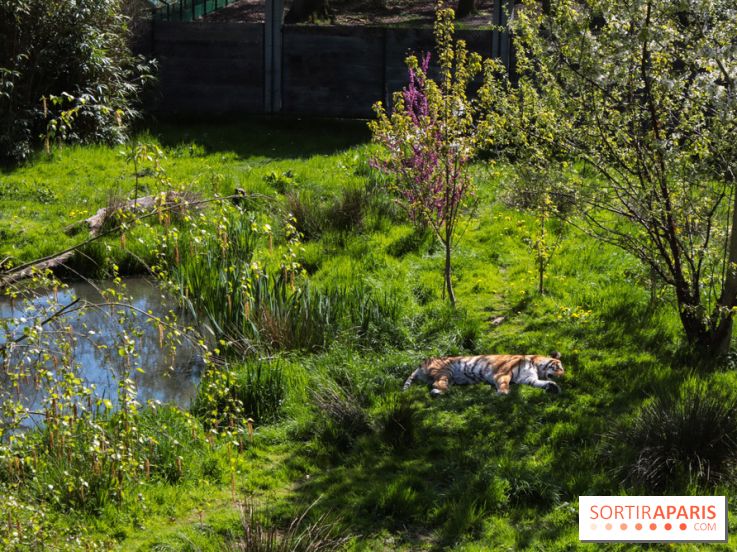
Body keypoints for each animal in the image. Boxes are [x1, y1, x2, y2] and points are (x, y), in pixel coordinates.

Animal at [403, 352, 564, 397]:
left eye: (563, 370)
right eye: (558, 367)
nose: (563, 376)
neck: (536, 367)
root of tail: (421, 363)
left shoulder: (528, 379)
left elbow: (540, 383)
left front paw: (554, 387)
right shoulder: (503, 373)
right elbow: (504, 384)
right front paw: (502, 392)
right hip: (445, 370)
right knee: (438, 384)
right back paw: (442, 391)